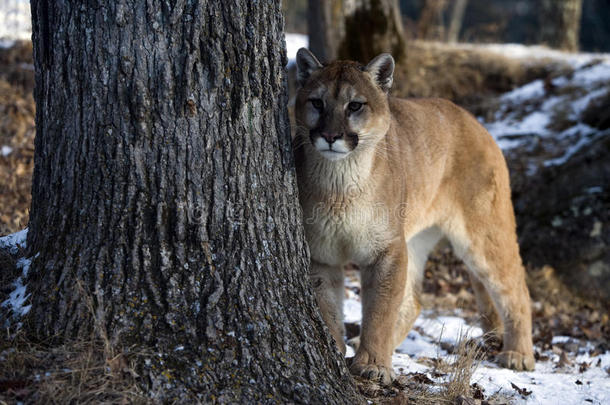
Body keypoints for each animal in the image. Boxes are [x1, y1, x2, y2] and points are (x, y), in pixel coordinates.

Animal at [292, 49, 536, 384]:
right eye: (317, 102)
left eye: (354, 105)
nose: (330, 136)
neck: (341, 184)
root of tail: (476, 122)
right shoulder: (322, 254)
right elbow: (328, 308)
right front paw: (337, 349)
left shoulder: (387, 249)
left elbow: (381, 309)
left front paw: (372, 365)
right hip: (416, 238)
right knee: (415, 301)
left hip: (483, 233)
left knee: (516, 288)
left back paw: (519, 355)